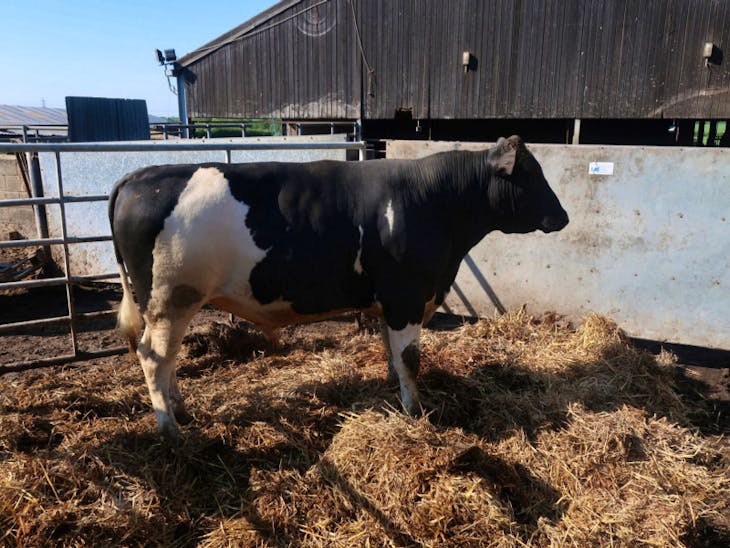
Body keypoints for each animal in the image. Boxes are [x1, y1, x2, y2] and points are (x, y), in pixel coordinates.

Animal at [108, 135, 568, 442]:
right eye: (530, 175)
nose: (563, 216)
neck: (434, 202)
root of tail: (139, 176)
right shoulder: (406, 296)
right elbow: (411, 359)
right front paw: (415, 411)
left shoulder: (390, 302)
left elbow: (392, 354)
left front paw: (396, 394)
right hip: (171, 300)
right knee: (154, 358)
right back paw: (171, 430)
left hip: (171, 305)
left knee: (166, 360)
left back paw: (181, 411)